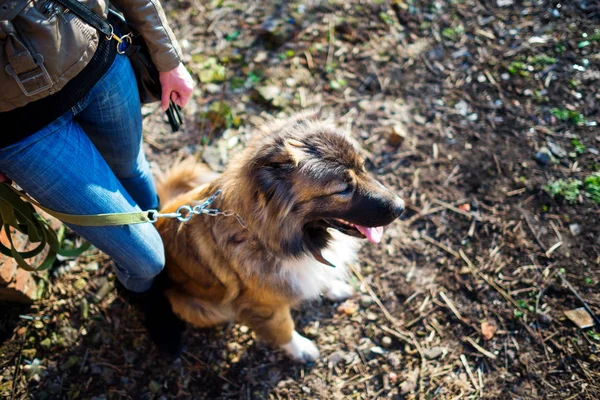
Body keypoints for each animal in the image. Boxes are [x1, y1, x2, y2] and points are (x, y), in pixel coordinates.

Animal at [157, 113, 406, 362]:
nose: (401, 207)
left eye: (362, 167)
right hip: (198, 308)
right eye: (343, 189)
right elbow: (283, 327)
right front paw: (301, 348)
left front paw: (333, 287)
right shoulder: (265, 305)